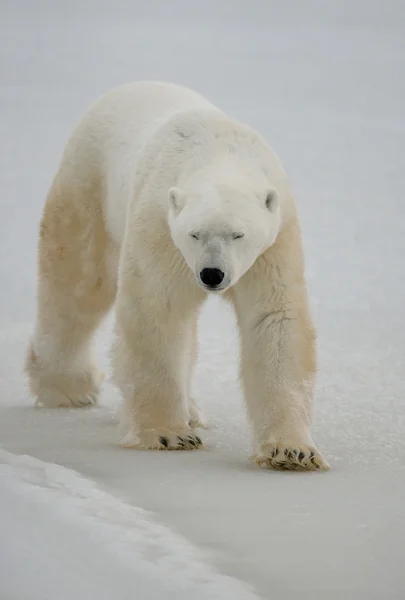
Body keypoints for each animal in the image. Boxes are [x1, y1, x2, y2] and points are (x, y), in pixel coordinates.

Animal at [25, 81, 328, 474]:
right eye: (194, 234)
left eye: (239, 234)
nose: (212, 273)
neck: (220, 153)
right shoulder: (159, 227)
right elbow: (157, 310)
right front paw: (169, 435)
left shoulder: (275, 243)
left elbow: (274, 319)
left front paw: (292, 452)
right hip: (89, 184)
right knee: (78, 283)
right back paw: (69, 387)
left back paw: (192, 409)